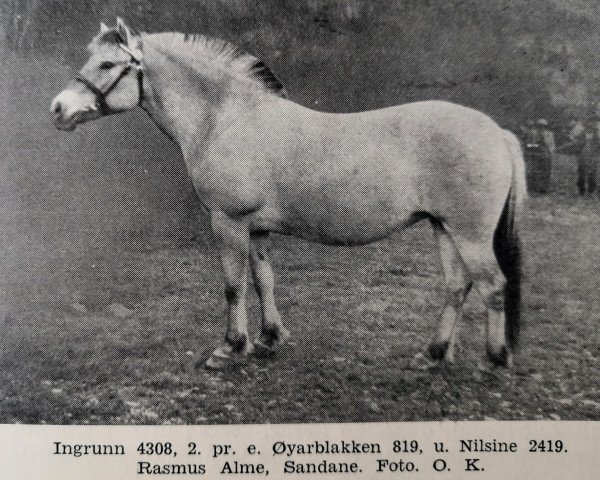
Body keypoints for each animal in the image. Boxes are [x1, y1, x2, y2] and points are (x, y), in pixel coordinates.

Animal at [52, 18, 528, 370]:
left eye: (108, 64)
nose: (58, 108)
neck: (227, 119)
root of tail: (497, 132)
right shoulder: (257, 228)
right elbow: (264, 279)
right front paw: (270, 338)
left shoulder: (228, 222)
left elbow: (233, 285)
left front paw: (231, 347)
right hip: (443, 227)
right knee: (456, 287)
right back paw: (433, 354)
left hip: (468, 233)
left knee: (492, 286)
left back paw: (494, 359)